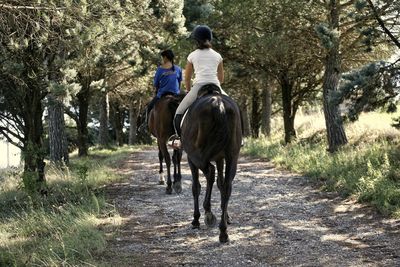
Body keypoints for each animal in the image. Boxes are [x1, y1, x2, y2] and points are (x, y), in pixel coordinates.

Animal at [180, 85, 242, 244]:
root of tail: (218, 105)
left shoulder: (191, 159)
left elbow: (196, 187)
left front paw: (196, 219)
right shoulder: (220, 158)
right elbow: (220, 184)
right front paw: (226, 216)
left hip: (195, 155)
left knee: (209, 171)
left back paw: (208, 215)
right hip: (232, 156)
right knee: (226, 185)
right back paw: (223, 231)